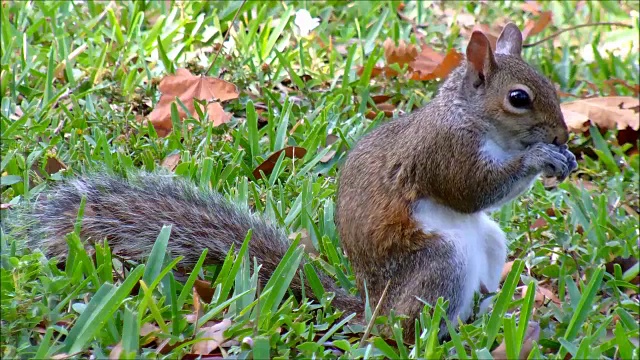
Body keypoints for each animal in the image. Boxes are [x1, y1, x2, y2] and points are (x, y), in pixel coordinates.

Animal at [3, 23, 576, 342]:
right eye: (519, 98)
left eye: (551, 86)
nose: (563, 135)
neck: (470, 118)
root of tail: (373, 308)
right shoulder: (443, 153)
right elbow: (469, 190)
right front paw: (540, 158)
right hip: (439, 262)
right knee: (409, 327)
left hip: (487, 244)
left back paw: (496, 318)